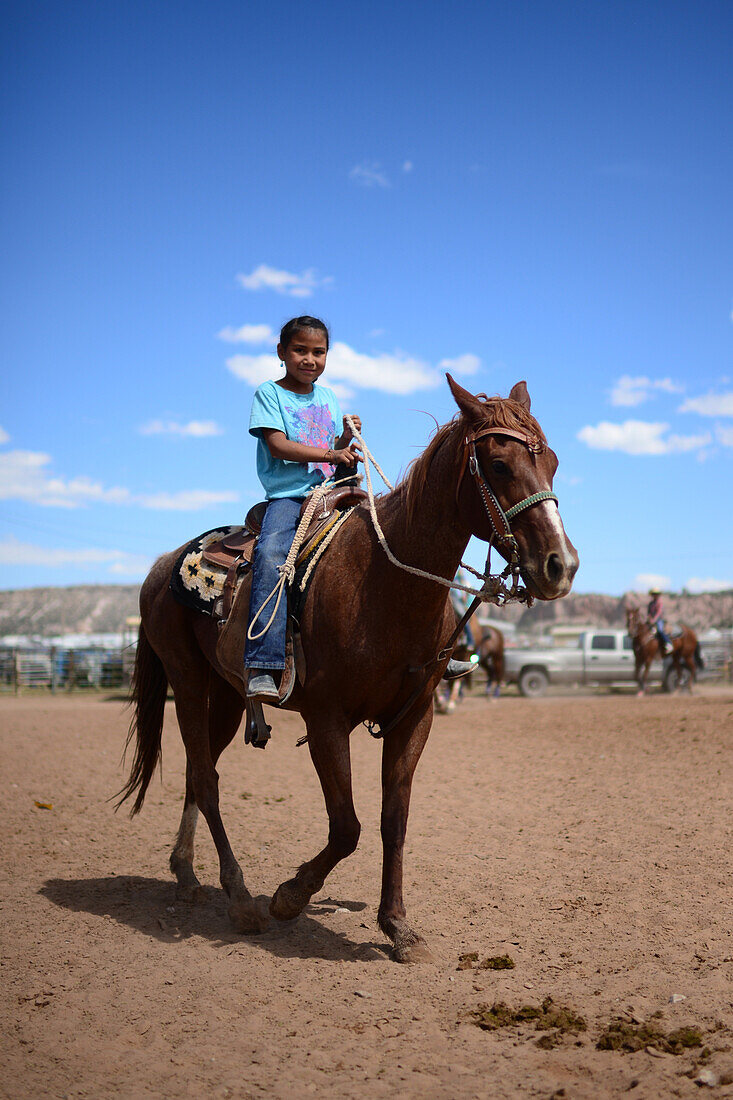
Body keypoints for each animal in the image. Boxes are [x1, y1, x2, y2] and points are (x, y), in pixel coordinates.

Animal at [117, 374, 572, 959]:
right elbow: (346, 827)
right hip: (188, 682)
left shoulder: (413, 718)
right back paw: (240, 900)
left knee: (200, 774)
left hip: (227, 696)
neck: (385, 582)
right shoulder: (327, 720)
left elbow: (392, 821)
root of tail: (161, 566)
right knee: (205, 778)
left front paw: (397, 926)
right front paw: (289, 898)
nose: (561, 565)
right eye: (498, 465)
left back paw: (187, 874)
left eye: (553, 462)